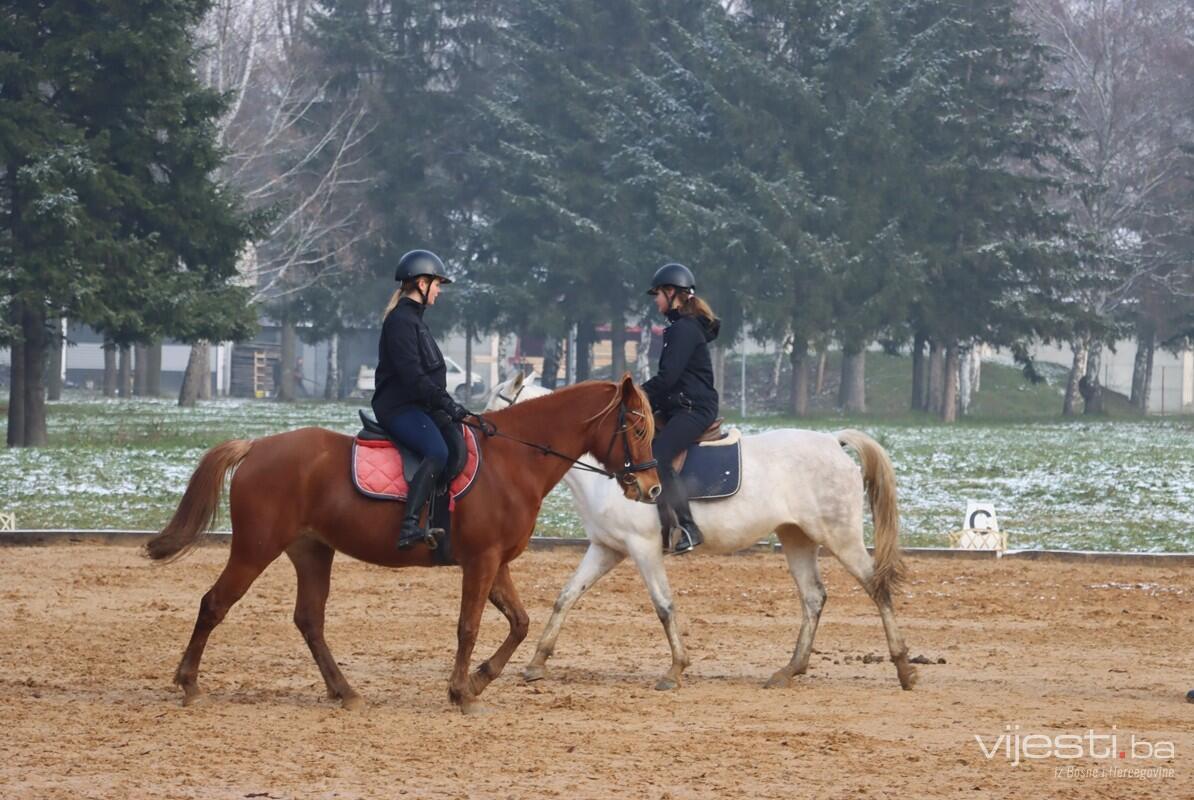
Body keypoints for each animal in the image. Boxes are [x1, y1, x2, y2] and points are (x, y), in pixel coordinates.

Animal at [146, 377, 663, 716]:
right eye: (637, 430)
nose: (652, 489)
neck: (514, 460)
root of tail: (256, 446)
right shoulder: (481, 561)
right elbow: (468, 626)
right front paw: (461, 691)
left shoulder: (497, 563)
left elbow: (519, 623)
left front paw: (478, 680)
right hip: (255, 549)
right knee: (215, 604)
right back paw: (190, 685)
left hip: (311, 551)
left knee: (309, 620)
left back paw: (345, 691)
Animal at [484, 372, 912, 692]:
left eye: (496, 401)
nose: (483, 433)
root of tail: (832, 441)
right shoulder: (607, 548)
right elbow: (566, 597)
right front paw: (537, 662)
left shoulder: (642, 548)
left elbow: (663, 605)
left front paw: (675, 669)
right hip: (797, 537)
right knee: (813, 597)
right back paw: (789, 670)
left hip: (840, 535)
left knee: (876, 587)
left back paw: (904, 668)